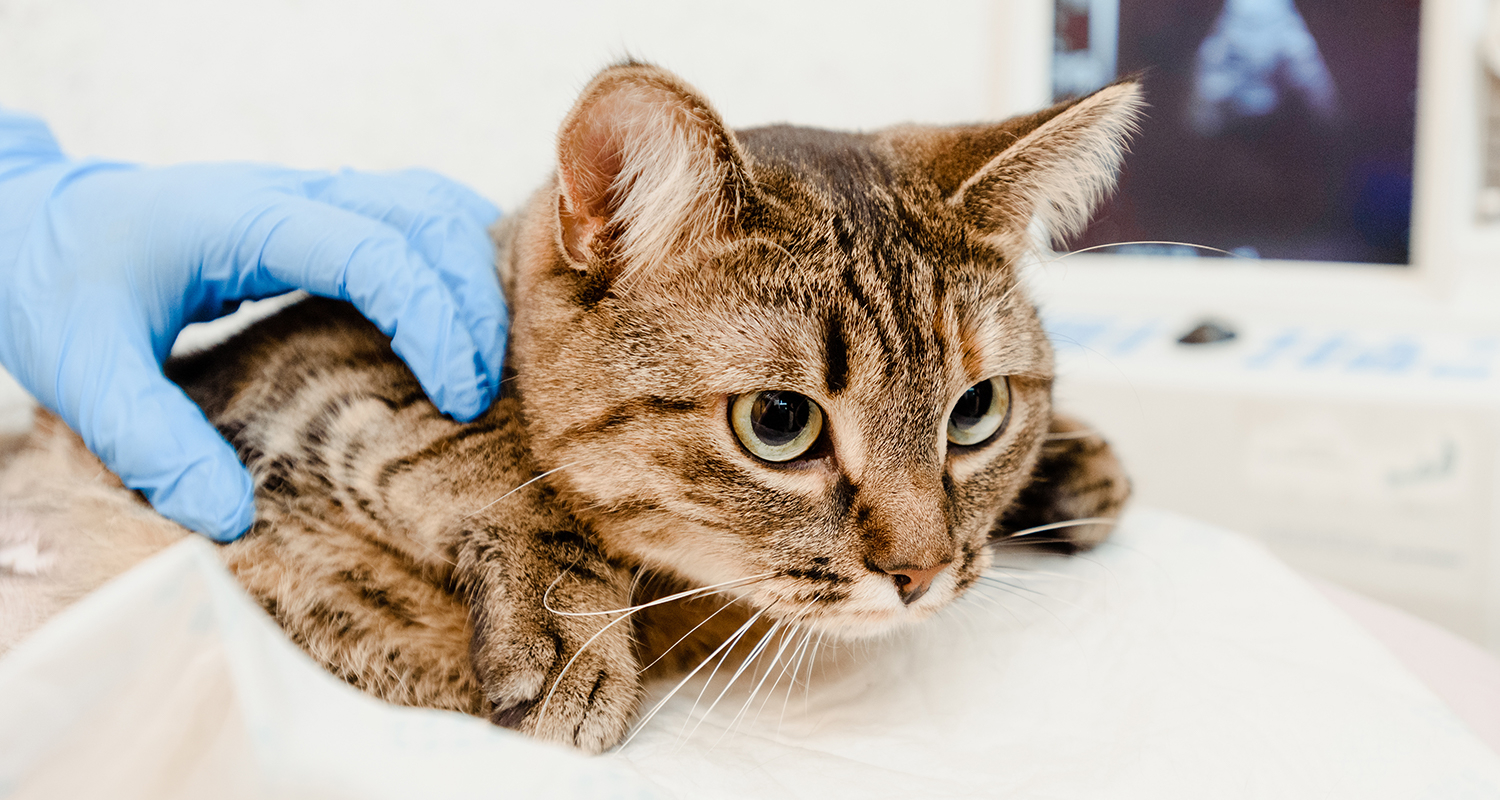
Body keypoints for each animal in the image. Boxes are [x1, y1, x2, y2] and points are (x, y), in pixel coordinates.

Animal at [0, 62, 1134, 747]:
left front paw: (1069, 465)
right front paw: (567, 636)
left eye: (977, 410)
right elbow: (473, 443)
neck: (681, 603)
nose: (925, 573)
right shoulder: (295, 383)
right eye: (779, 422)